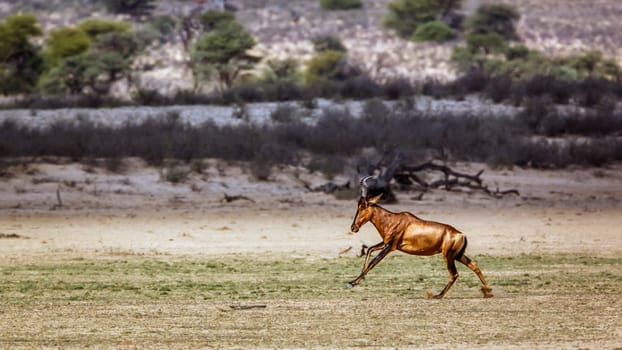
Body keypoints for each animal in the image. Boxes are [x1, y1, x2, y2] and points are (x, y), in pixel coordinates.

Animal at [348, 176, 494, 296]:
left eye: (362, 206)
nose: (353, 227)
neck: (393, 219)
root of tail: (461, 234)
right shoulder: (385, 243)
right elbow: (369, 250)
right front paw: (357, 281)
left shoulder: (390, 246)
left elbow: (373, 261)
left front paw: (351, 282)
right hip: (458, 255)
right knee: (474, 266)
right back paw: (488, 291)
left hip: (448, 256)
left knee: (454, 274)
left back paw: (437, 296)